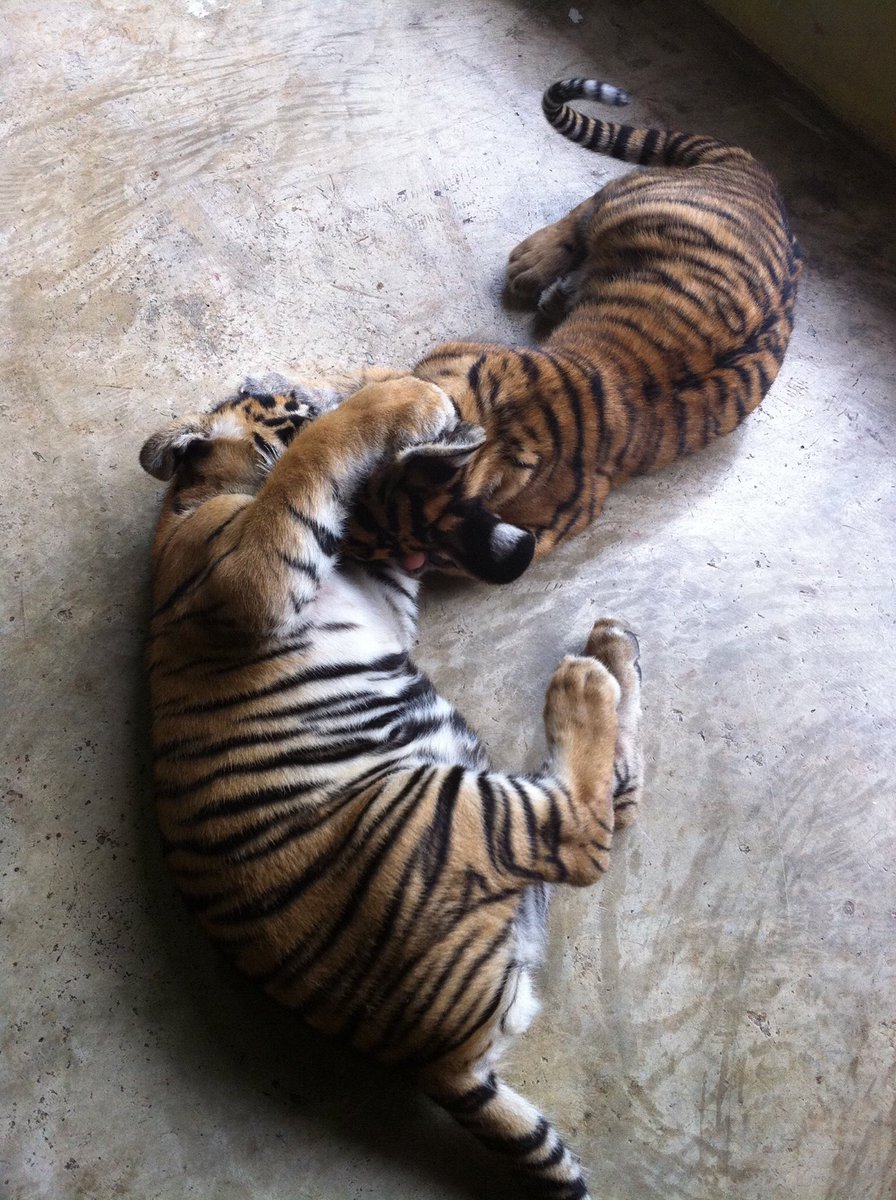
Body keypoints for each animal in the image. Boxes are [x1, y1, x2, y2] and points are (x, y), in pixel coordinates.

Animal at [140, 373, 645, 1200]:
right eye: (281, 398)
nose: (282, 381)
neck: (193, 501)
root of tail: (436, 1065)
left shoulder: (379, 591)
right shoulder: (251, 572)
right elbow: (314, 453)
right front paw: (402, 398)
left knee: (614, 800)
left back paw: (610, 646)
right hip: (441, 810)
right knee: (585, 833)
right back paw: (584, 679)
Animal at [330, 77, 803, 581]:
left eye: (367, 545)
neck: (505, 431)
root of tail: (754, 172)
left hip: (632, 207)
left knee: (592, 207)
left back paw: (541, 276)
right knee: (588, 209)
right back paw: (540, 274)